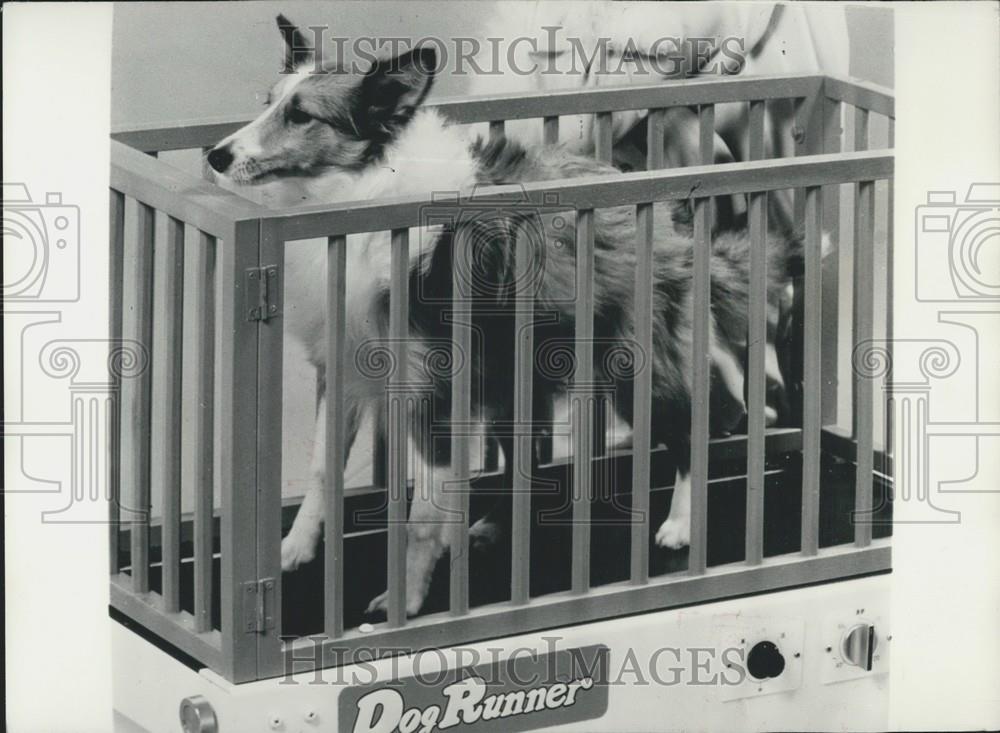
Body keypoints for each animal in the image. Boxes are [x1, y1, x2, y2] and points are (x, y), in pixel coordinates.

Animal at [209, 14, 804, 616]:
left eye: (302, 114)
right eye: (269, 103)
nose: (215, 156)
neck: (362, 199)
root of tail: (666, 215)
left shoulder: (435, 396)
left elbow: (422, 516)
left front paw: (404, 603)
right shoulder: (345, 369)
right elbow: (321, 470)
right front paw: (294, 549)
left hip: (629, 369)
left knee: (688, 433)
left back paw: (679, 525)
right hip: (515, 381)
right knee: (529, 465)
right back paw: (493, 527)